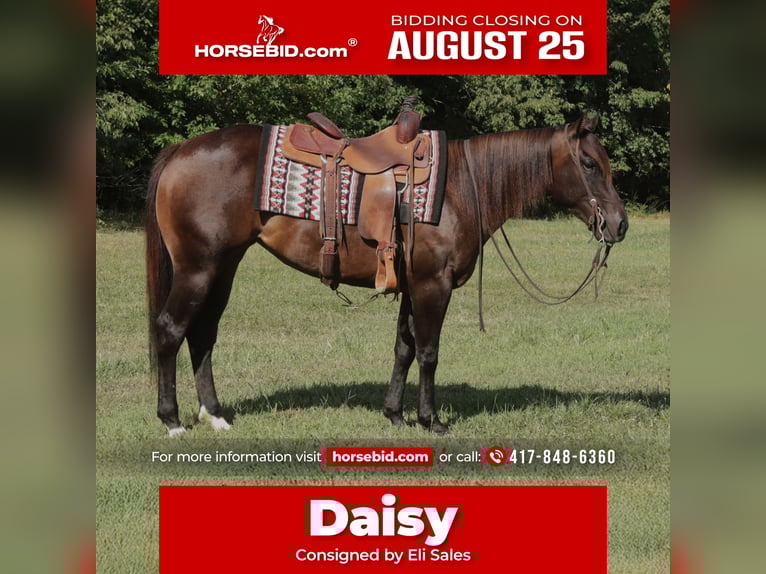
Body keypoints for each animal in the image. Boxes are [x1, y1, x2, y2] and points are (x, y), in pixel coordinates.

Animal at [145, 113, 628, 436]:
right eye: (589, 164)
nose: (620, 224)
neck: (460, 188)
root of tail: (180, 151)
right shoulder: (434, 285)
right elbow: (429, 352)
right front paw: (430, 420)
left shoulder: (412, 287)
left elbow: (404, 348)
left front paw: (394, 413)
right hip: (197, 268)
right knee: (170, 330)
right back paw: (171, 420)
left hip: (223, 267)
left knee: (202, 335)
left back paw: (215, 415)